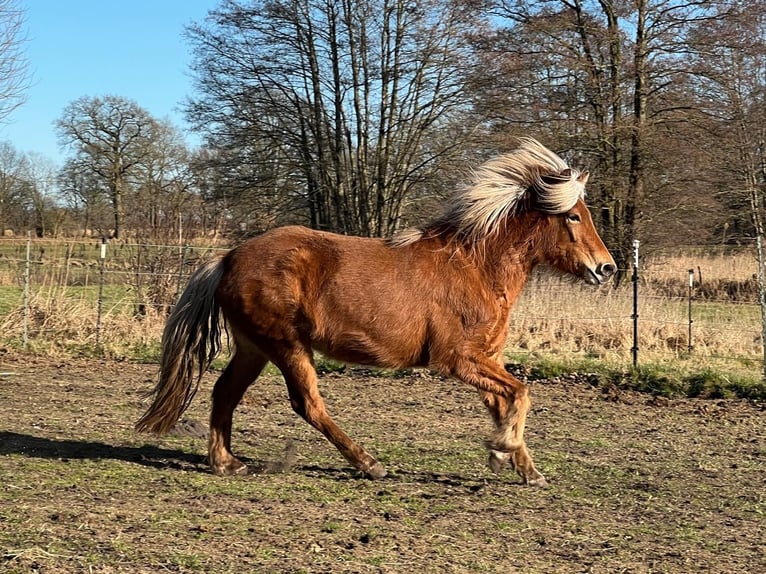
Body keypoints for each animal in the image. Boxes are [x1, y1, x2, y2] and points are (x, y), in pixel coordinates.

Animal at [135, 138, 615, 486]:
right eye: (573, 216)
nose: (606, 268)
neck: (475, 267)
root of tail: (230, 256)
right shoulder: (458, 359)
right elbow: (521, 394)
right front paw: (502, 450)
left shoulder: (487, 359)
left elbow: (506, 401)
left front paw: (521, 466)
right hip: (287, 345)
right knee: (308, 404)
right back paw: (369, 463)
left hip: (254, 348)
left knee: (224, 394)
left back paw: (227, 463)